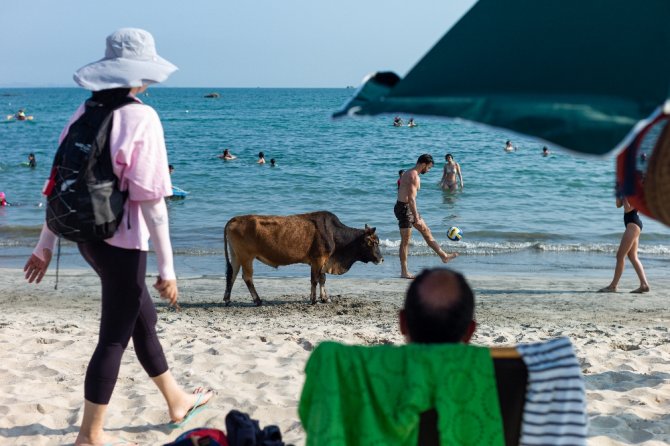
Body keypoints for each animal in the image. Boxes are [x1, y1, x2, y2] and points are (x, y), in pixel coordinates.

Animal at [224, 211, 384, 304]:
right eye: (373, 242)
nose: (381, 259)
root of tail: (234, 219)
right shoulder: (318, 259)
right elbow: (315, 280)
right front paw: (313, 300)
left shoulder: (323, 261)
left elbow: (322, 279)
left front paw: (325, 298)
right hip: (246, 256)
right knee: (247, 277)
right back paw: (257, 300)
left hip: (236, 255)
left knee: (232, 274)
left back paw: (227, 299)